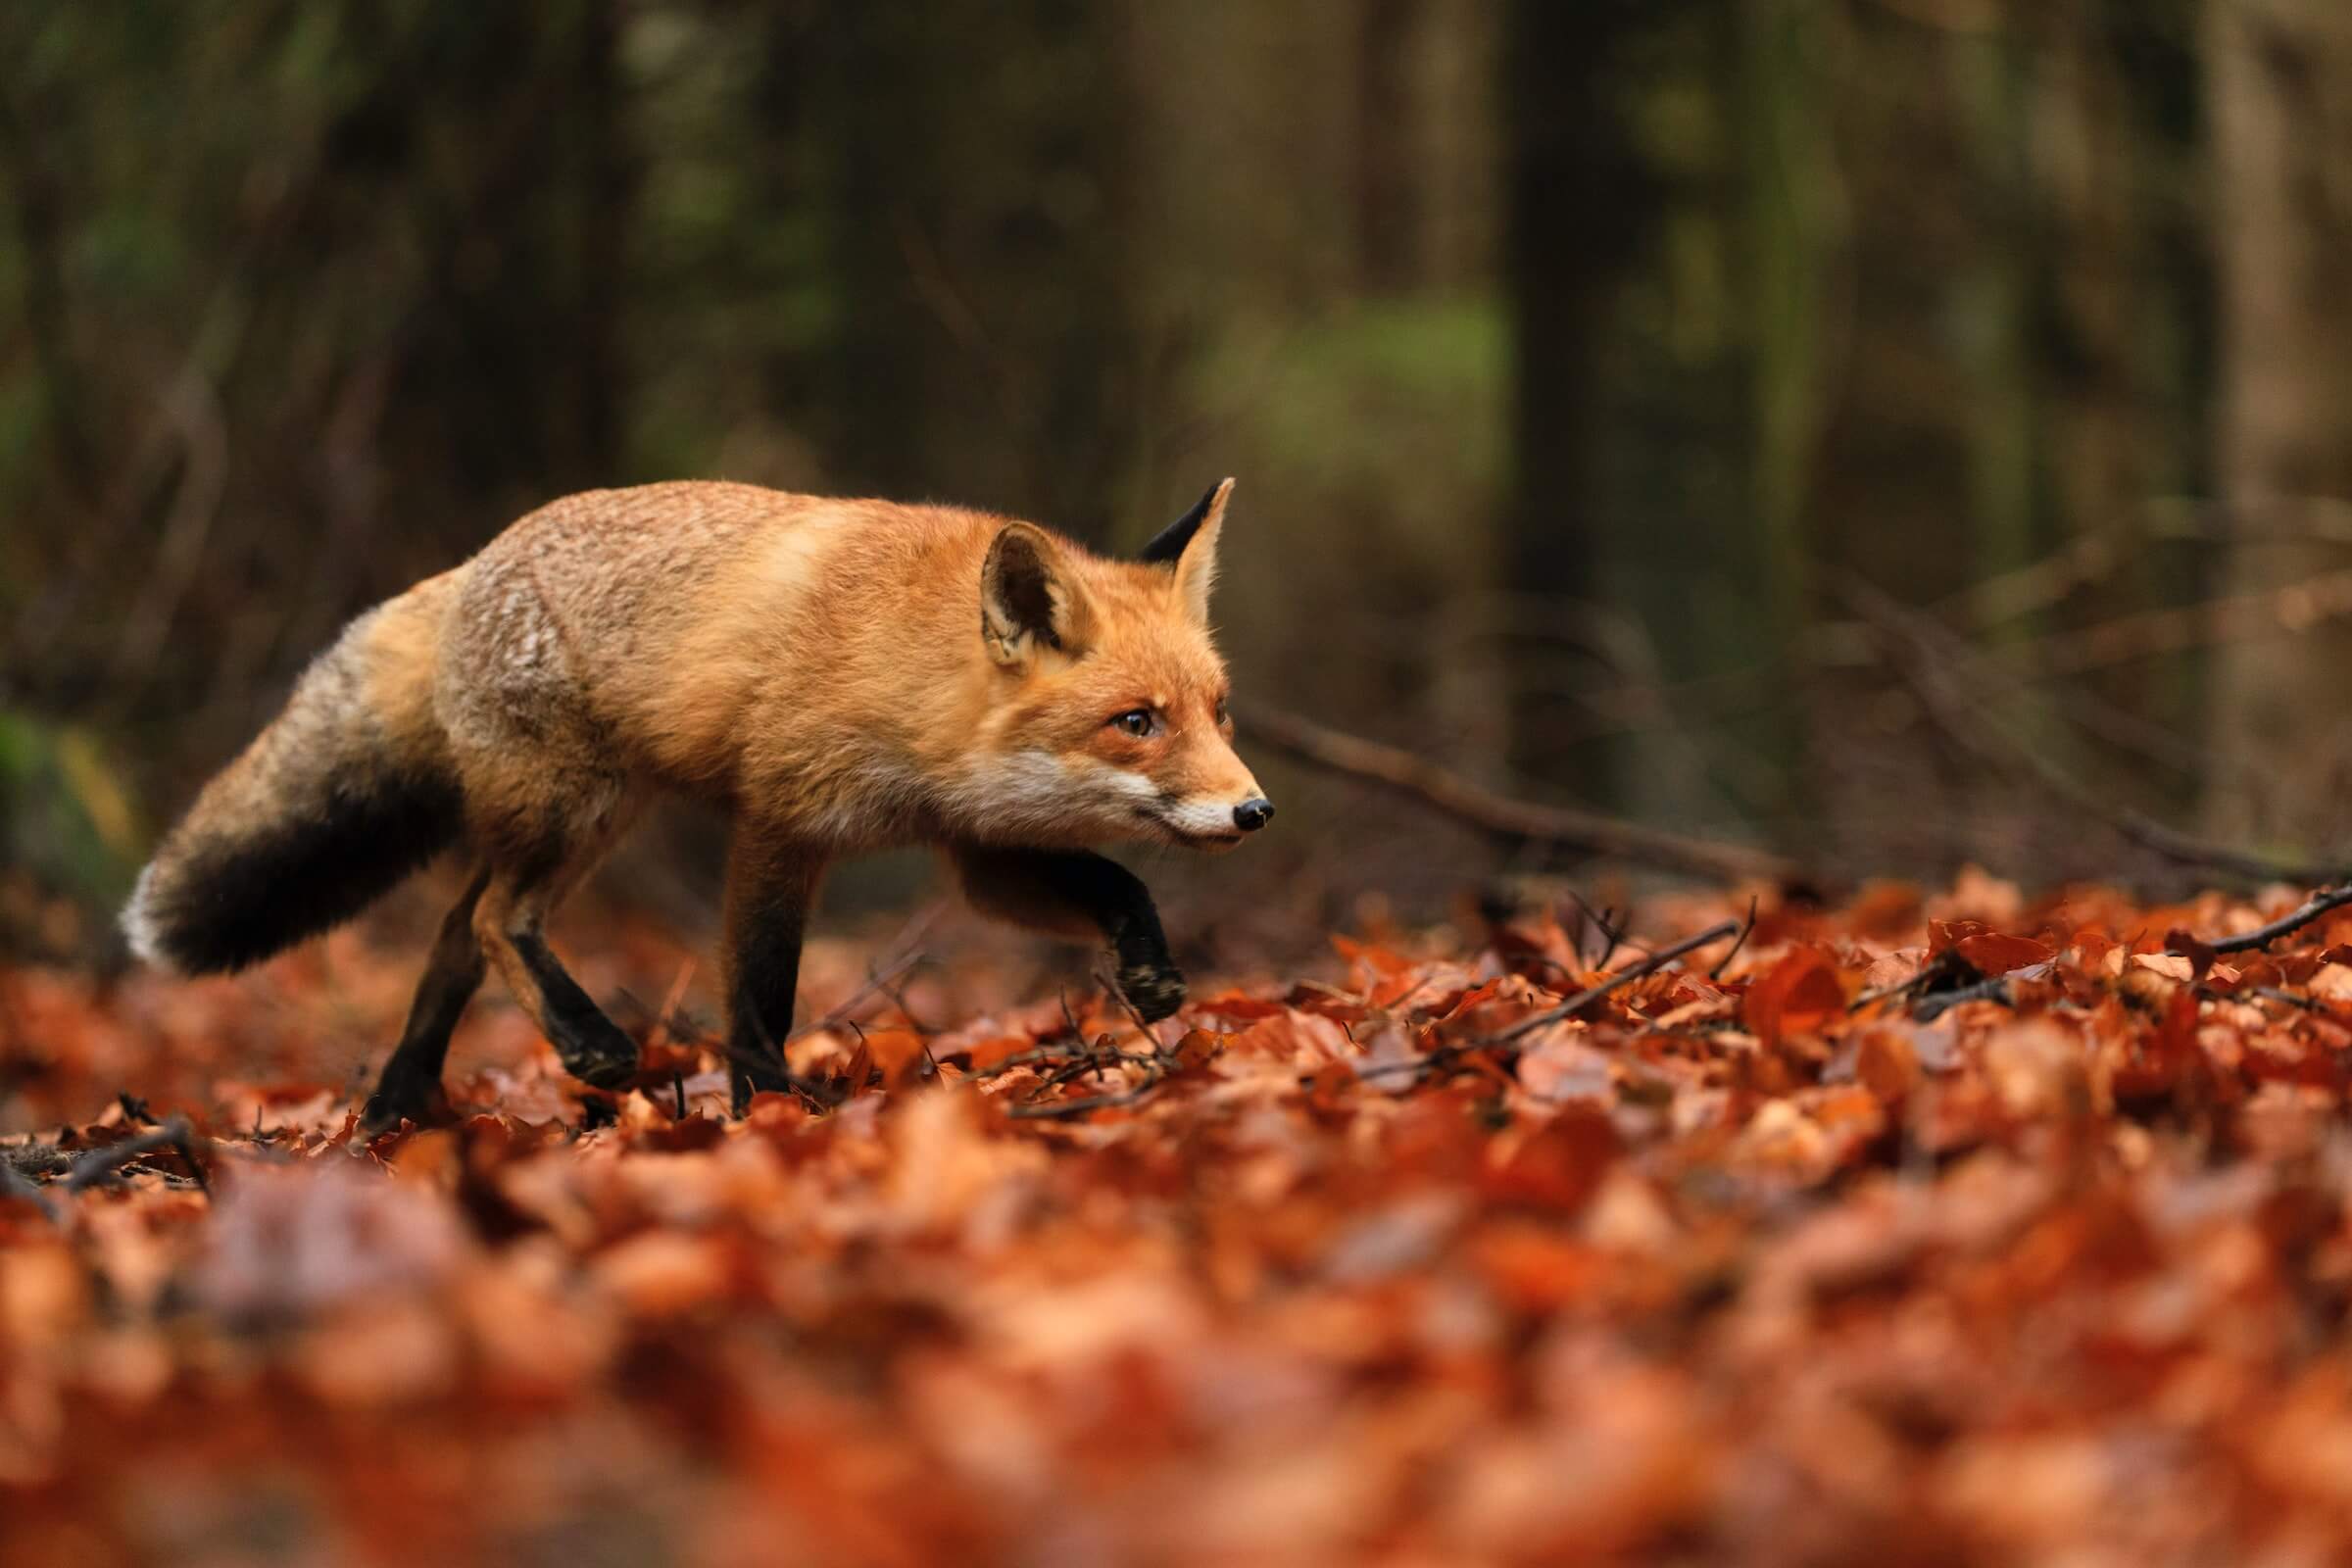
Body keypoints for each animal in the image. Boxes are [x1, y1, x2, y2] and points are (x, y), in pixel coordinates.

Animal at [123, 479, 1270, 1128]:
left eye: (1219, 712)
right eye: (1136, 721)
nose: (1255, 812)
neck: (911, 675)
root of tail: (469, 564)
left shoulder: (975, 847)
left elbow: (1115, 880)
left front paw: (1150, 970)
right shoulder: (779, 820)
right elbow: (759, 995)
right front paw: (765, 1114)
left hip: (580, 816)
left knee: (453, 932)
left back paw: (396, 1112)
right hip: (575, 808)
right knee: (492, 919)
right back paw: (586, 1045)